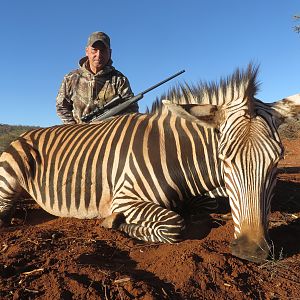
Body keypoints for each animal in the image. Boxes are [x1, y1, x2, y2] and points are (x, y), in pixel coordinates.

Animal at [0, 65, 298, 262]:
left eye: (277, 160)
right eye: (225, 159)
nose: (251, 251)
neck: (178, 157)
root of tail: (26, 134)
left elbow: (206, 205)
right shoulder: (125, 198)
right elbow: (173, 224)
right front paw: (114, 223)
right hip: (10, 176)